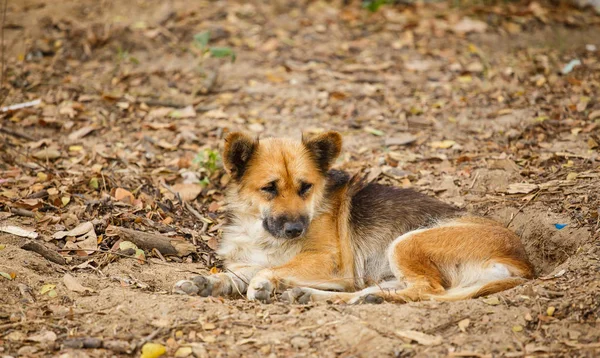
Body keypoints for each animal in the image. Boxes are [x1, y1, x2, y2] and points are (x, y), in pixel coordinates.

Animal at [173, 131, 536, 304]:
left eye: (305, 187)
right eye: (269, 188)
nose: (295, 229)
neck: (262, 232)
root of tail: (524, 265)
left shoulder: (331, 262)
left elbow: (269, 270)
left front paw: (264, 282)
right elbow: (239, 272)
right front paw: (207, 282)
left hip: (405, 244)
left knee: (427, 290)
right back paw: (320, 296)